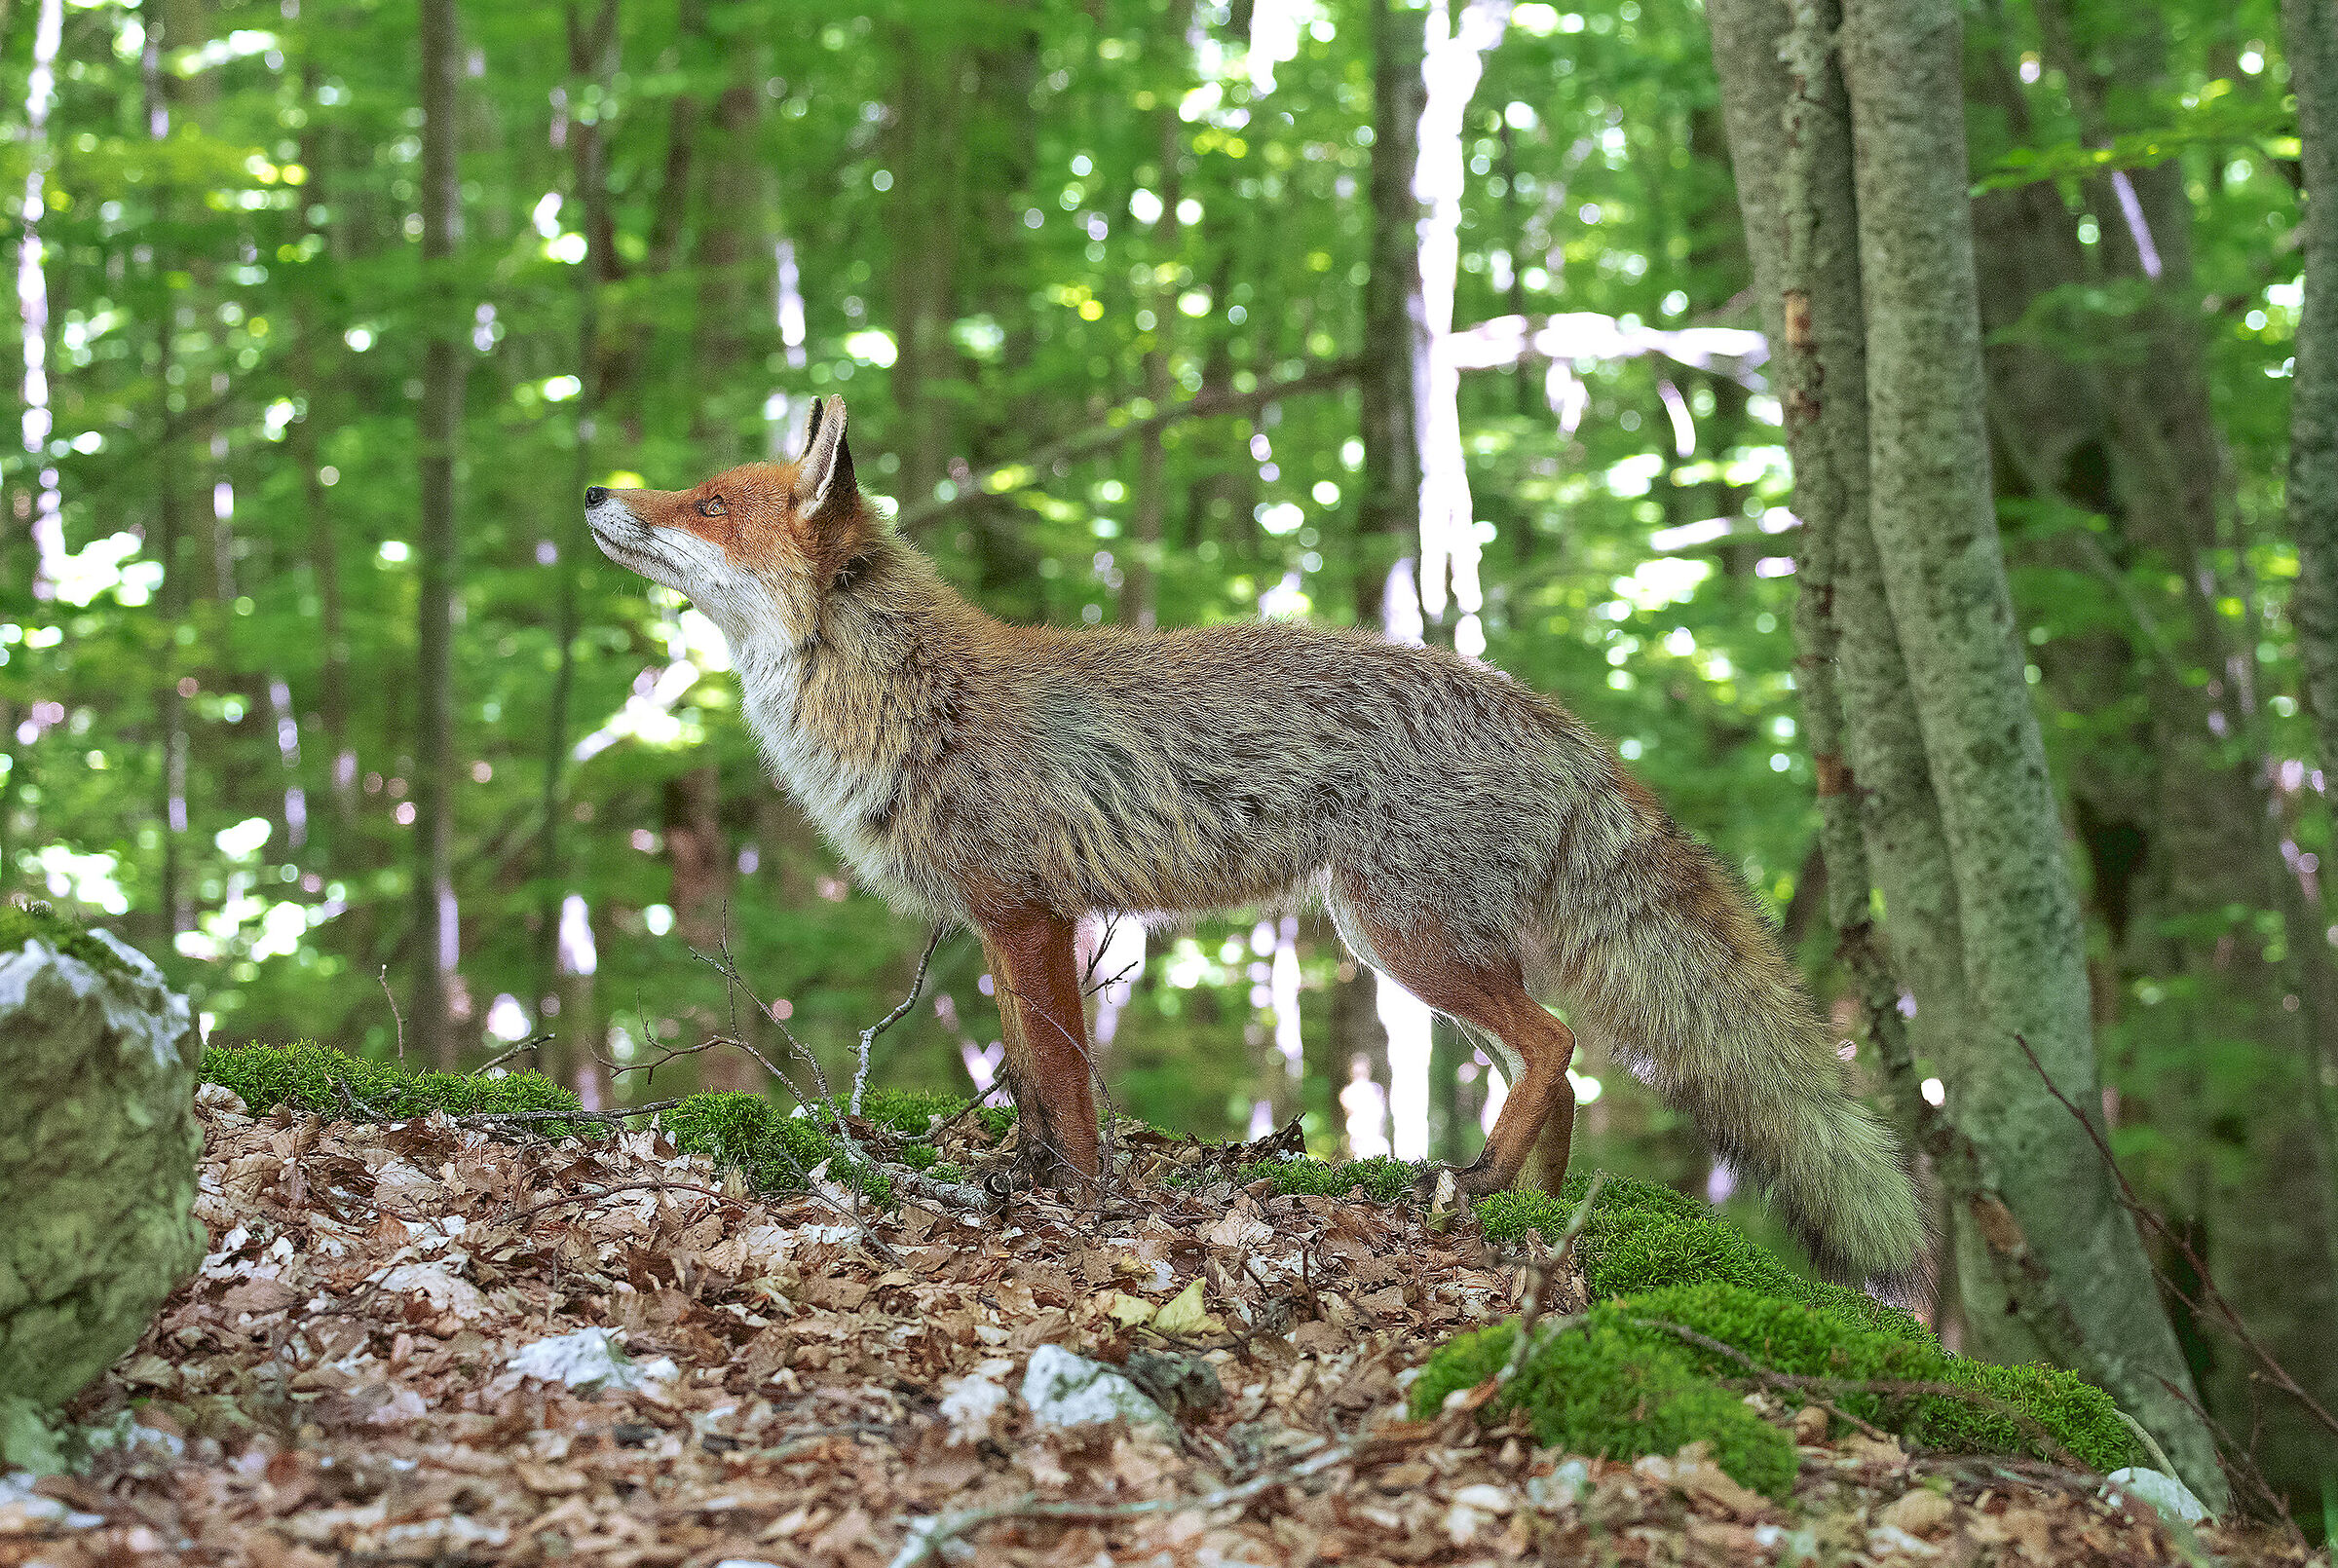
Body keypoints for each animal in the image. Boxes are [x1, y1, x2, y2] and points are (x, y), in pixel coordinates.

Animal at [585, 393, 1925, 1285]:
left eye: (709, 503)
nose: (597, 490)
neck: (914, 702)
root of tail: (1558, 720)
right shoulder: (1004, 923)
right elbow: (1028, 1083)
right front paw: (1021, 1177)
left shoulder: (1032, 915)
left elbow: (1066, 1086)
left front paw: (1076, 1206)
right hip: (1424, 953)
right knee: (1563, 1078)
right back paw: (1534, 1215)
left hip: (1404, 938)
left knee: (1557, 1047)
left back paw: (1482, 1186)